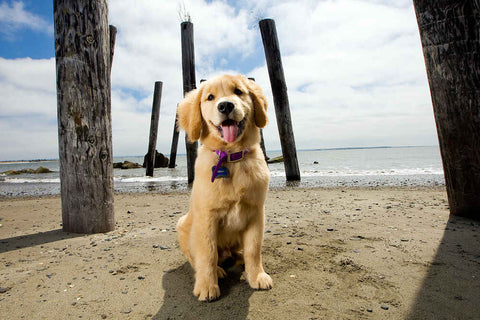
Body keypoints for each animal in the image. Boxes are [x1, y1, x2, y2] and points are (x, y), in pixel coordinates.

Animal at [176, 74, 274, 302]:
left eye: (238, 91)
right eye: (210, 97)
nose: (226, 105)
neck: (232, 156)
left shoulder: (256, 212)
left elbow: (253, 248)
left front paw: (257, 275)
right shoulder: (207, 216)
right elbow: (207, 253)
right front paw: (207, 285)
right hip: (182, 225)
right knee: (197, 257)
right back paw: (217, 271)